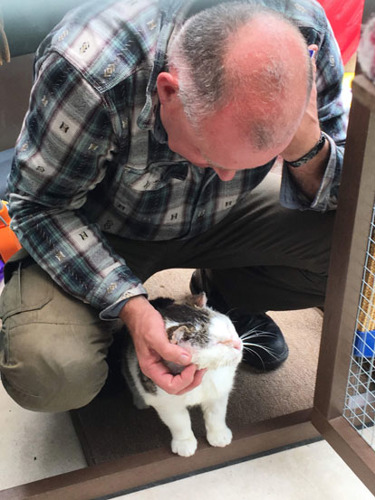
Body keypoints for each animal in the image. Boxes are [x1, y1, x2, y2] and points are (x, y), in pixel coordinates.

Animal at [122, 292, 242, 458]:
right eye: (219, 344)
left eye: (228, 327)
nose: (238, 344)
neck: (205, 376)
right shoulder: (166, 402)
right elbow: (179, 422)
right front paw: (184, 443)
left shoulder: (219, 390)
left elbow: (216, 413)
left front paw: (219, 434)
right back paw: (140, 400)